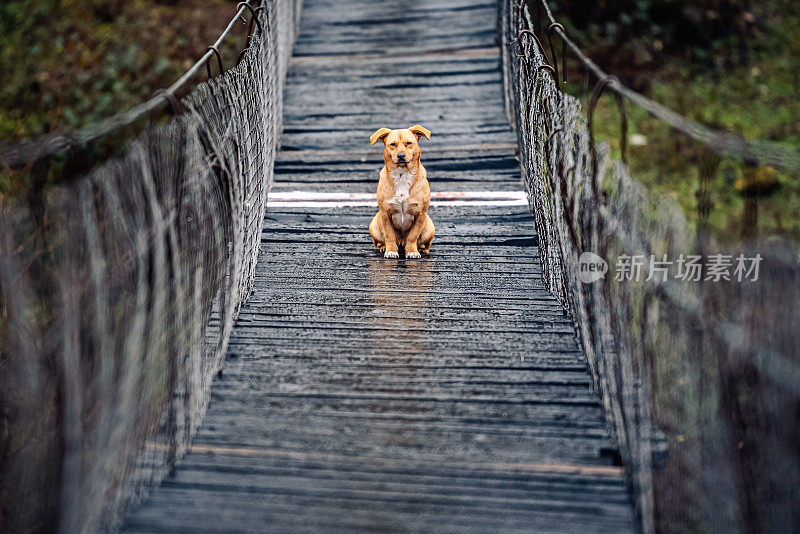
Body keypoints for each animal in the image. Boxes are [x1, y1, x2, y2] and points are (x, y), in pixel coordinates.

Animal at [370, 125, 438, 260]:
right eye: (392, 144)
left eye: (409, 143)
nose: (401, 155)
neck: (402, 175)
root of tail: (401, 242)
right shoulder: (385, 213)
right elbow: (389, 235)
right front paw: (391, 251)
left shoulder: (420, 214)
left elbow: (413, 236)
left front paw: (412, 251)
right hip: (374, 225)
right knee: (381, 241)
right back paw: (384, 247)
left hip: (430, 227)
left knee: (423, 243)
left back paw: (421, 249)